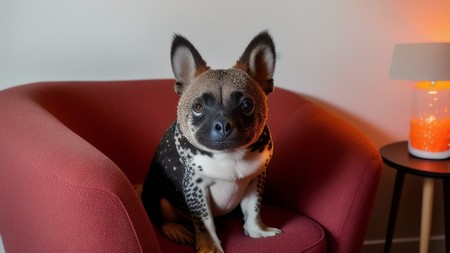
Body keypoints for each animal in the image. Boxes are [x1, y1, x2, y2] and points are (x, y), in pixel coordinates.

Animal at [142, 31, 280, 253]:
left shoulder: (255, 179)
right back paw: (175, 229)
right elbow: (205, 224)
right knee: (161, 217)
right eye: (198, 107)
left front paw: (257, 230)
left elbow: (253, 208)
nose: (223, 124)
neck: (229, 155)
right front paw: (211, 248)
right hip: (156, 198)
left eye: (246, 105)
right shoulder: (196, 189)